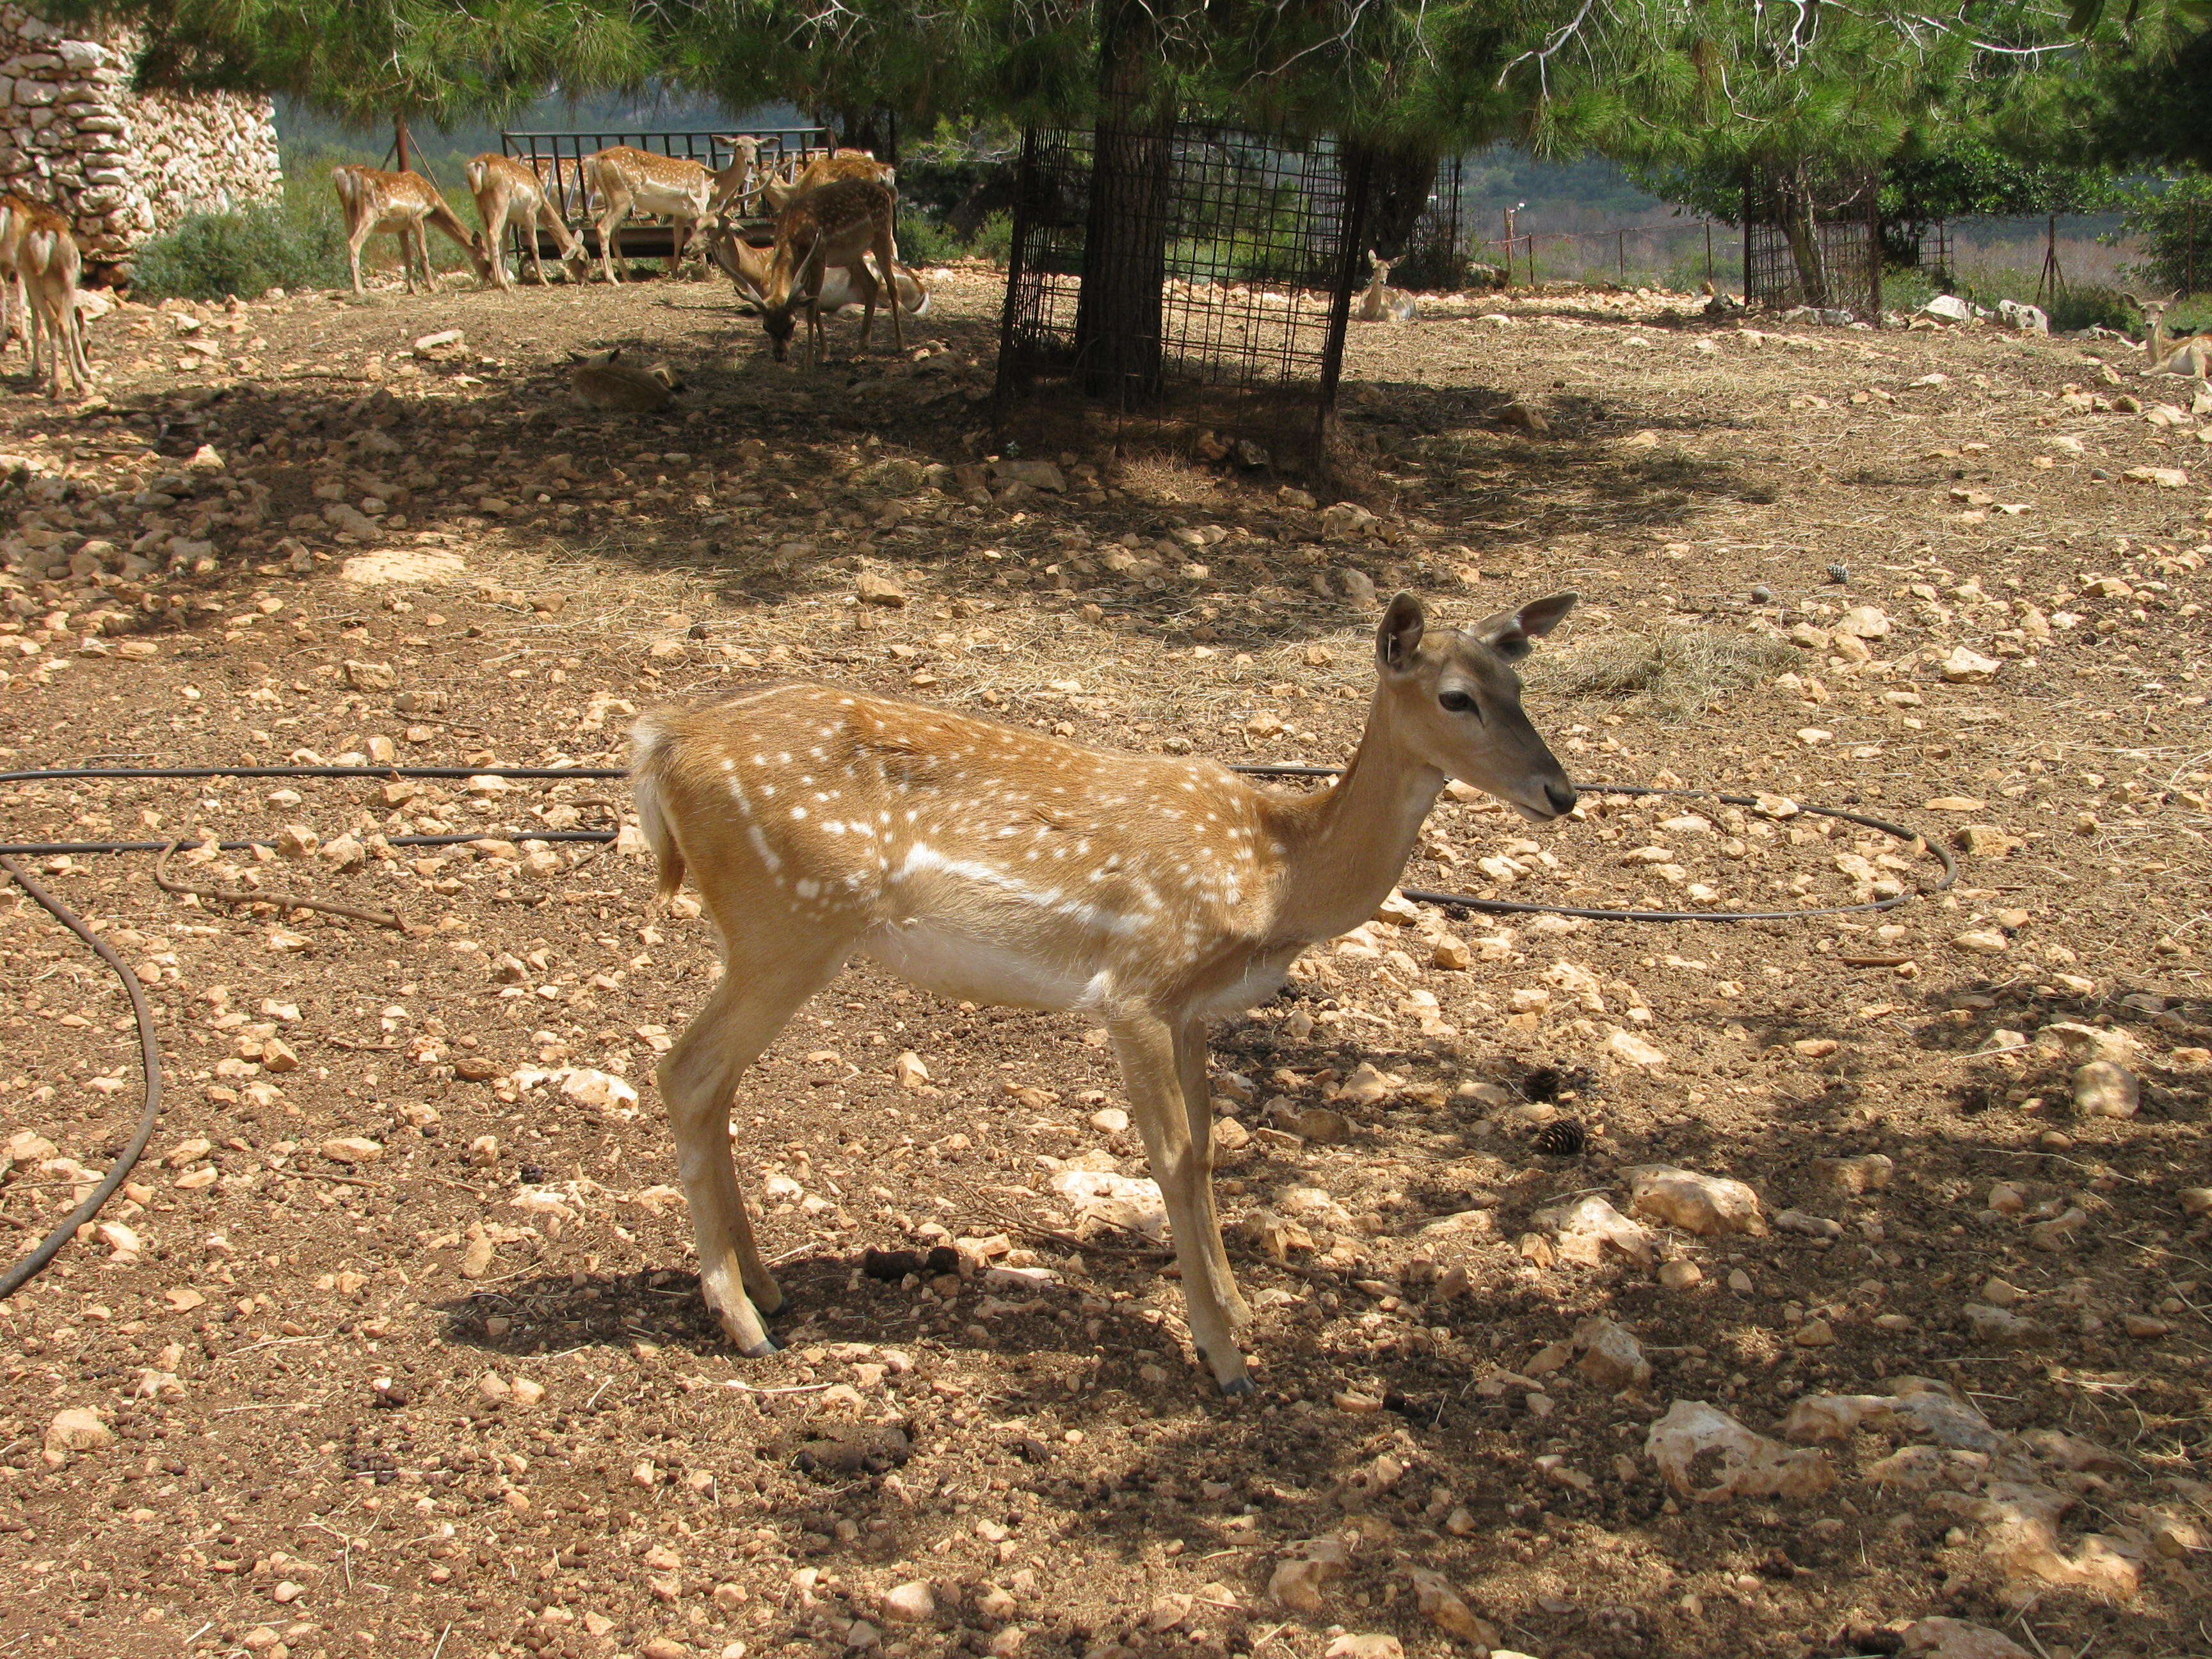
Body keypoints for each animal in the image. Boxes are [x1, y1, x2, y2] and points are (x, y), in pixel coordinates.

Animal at [327, 163, 488, 296]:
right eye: (487, 260)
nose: (490, 282)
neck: (434, 203)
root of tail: (345, 174)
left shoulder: (401, 226)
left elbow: (407, 256)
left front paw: (412, 289)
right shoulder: (418, 216)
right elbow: (423, 254)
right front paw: (433, 287)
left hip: (348, 214)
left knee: (350, 240)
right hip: (370, 213)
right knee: (354, 243)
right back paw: (359, 290)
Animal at [467, 152, 588, 289]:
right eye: (582, 260)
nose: (585, 281)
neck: (542, 205)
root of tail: (478, 164)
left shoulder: (510, 218)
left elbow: (506, 244)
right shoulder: (530, 213)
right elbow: (534, 246)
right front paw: (544, 281)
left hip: (481, 204)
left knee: (488, 236)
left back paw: (497, 282)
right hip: (500, 200)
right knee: (493, 234)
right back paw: (503, 284)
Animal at [584, 138, 765, 285]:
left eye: (755, 145)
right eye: (738, 146)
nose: (750, 161)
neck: (715, 184)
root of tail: (596, 159)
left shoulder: (679, 212)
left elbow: (677, 238)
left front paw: (675, 272)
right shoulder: (693, 207)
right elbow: (693, 235)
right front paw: (707, 275)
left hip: (611, 198)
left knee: (613, 233)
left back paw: (627, 276)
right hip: (622, 196)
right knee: (603, 228)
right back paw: (612, 279)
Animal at [632, 593, 1583, 1398]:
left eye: (1520, 685)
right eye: (1457, 698)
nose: (1562, 791)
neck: (1277, 875)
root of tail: (663, 742)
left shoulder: (1194, 1010)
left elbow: (1209, 1149)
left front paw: (1238, 1310)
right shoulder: (1139, 986)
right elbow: (1171, 1159)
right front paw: (1223, 1356)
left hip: (772, 932)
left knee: (711, 1085)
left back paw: (766, 1289)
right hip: (787, 922)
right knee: (684, 1071)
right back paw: (744, 1323)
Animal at [756, 178, 902, 367]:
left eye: (792, 323)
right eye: (765, 326)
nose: (780, 356)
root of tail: (886, 191)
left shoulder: (819, 256)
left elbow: (811, 308)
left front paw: (811, 359)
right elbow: (814, 302)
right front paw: (825, 353)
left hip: (882, 232)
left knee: (892, 283)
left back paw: (899, 344)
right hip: (851, 254)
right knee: (871, 284)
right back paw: (861, 347)